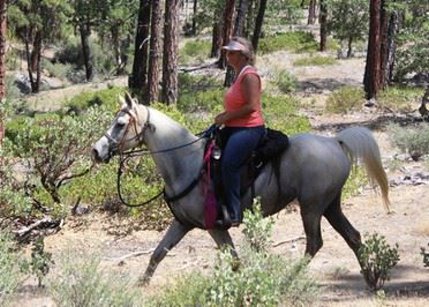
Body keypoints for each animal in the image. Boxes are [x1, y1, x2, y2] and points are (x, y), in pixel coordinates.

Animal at [92, 94, 390, 286]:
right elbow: (158, 253)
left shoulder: (215, 227)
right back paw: (371, 279)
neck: (185, 162)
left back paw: (287, 279)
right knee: (353, 236)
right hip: (330, 205)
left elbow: (234, 261)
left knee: (314, 243)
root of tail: (336, 142)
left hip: (312, 207)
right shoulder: (182, 223)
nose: (97, 150)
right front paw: (141, 285)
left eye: (120, 124)